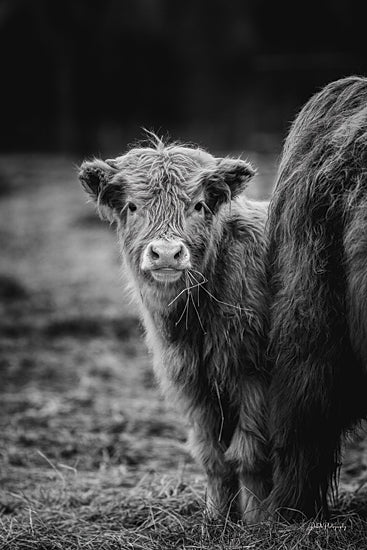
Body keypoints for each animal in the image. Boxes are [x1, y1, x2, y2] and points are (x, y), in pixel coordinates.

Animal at [79, 140, 272, 524]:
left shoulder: (253, 376)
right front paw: (215, 518)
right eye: (132, 206)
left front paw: (259, 521)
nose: (166, 253)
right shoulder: (194, 384)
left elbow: (249, 454)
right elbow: (213, 456)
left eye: (197, 204)